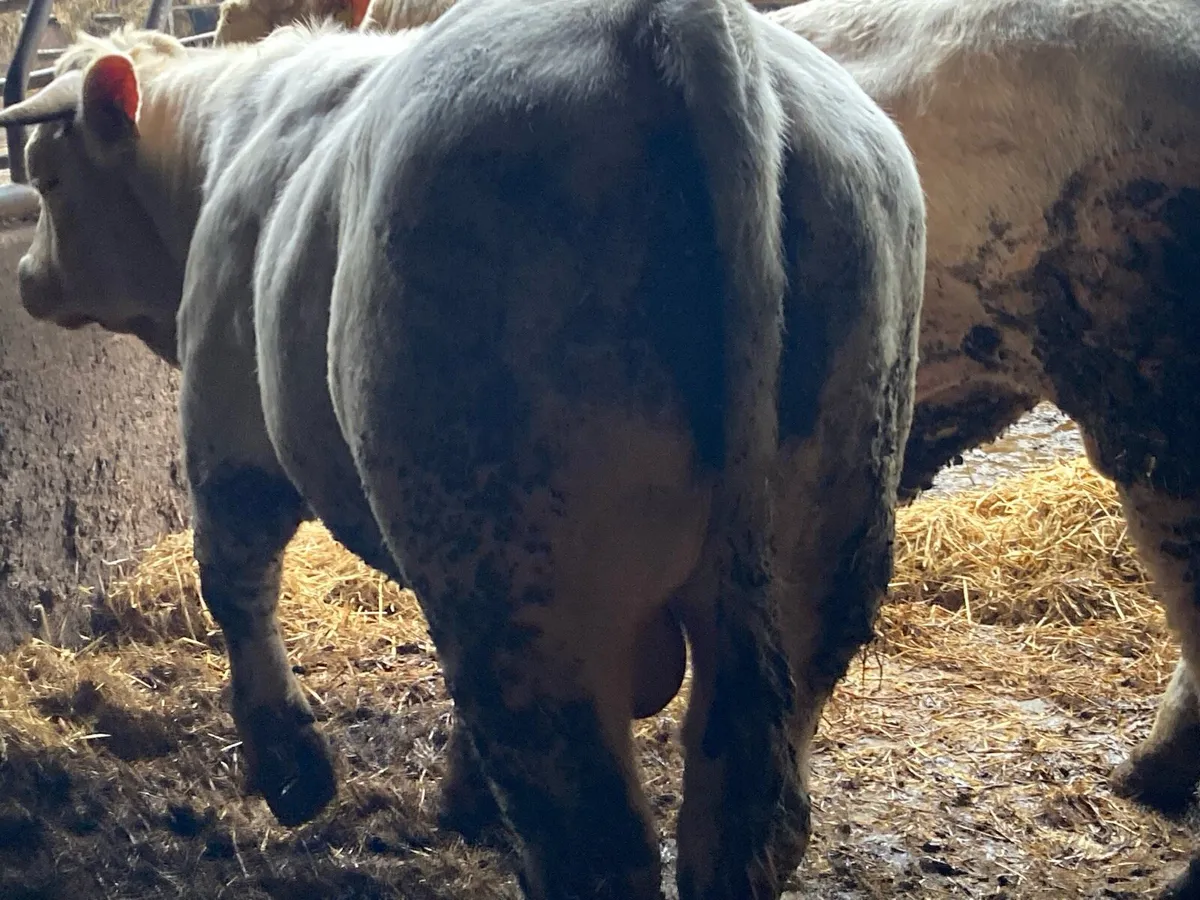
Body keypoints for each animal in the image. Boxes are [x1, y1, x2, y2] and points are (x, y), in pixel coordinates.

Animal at [0, 0, 926, 895]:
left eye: (47, 177)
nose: (28, 281)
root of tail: (668, 21)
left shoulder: (226, 425)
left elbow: (235, 587)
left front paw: (293, 774)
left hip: (518, 567)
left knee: (599, 848)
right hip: (820, 550)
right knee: (746, 820)